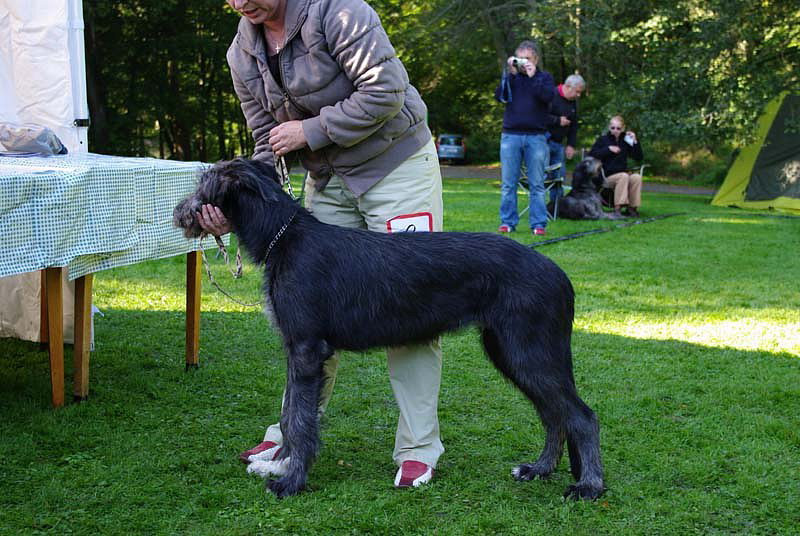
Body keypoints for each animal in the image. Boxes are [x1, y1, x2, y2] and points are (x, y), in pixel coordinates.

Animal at [172, 157, 604, 500]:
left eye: (203, 183)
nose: (179, 213)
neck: (284, 237)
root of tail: (560, 275)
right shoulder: (298, 350)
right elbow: (290, 414)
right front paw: (279, 464)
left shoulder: (307, 349)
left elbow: (300, 419)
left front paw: (291, 481)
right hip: (509, 351)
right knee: (554, 415)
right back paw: (539, 469)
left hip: (529, 349)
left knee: (580, 416)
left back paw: (589, 487)